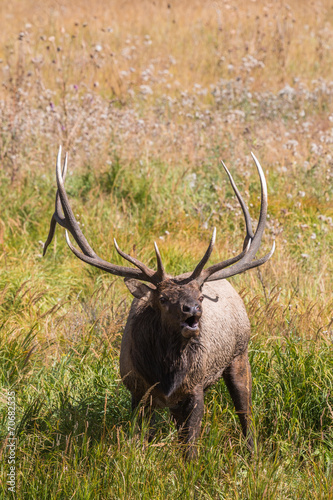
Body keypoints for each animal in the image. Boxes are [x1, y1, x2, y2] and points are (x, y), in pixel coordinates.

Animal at [42, 146, 274, 458]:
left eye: (200, 295)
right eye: (163, 298)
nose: (193, 311)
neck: (165, 376)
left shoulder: (194, 388)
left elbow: (190, 447)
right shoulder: (137, 390)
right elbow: (140, 440)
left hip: (240, 353)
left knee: (245, 411)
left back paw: (252, 453)